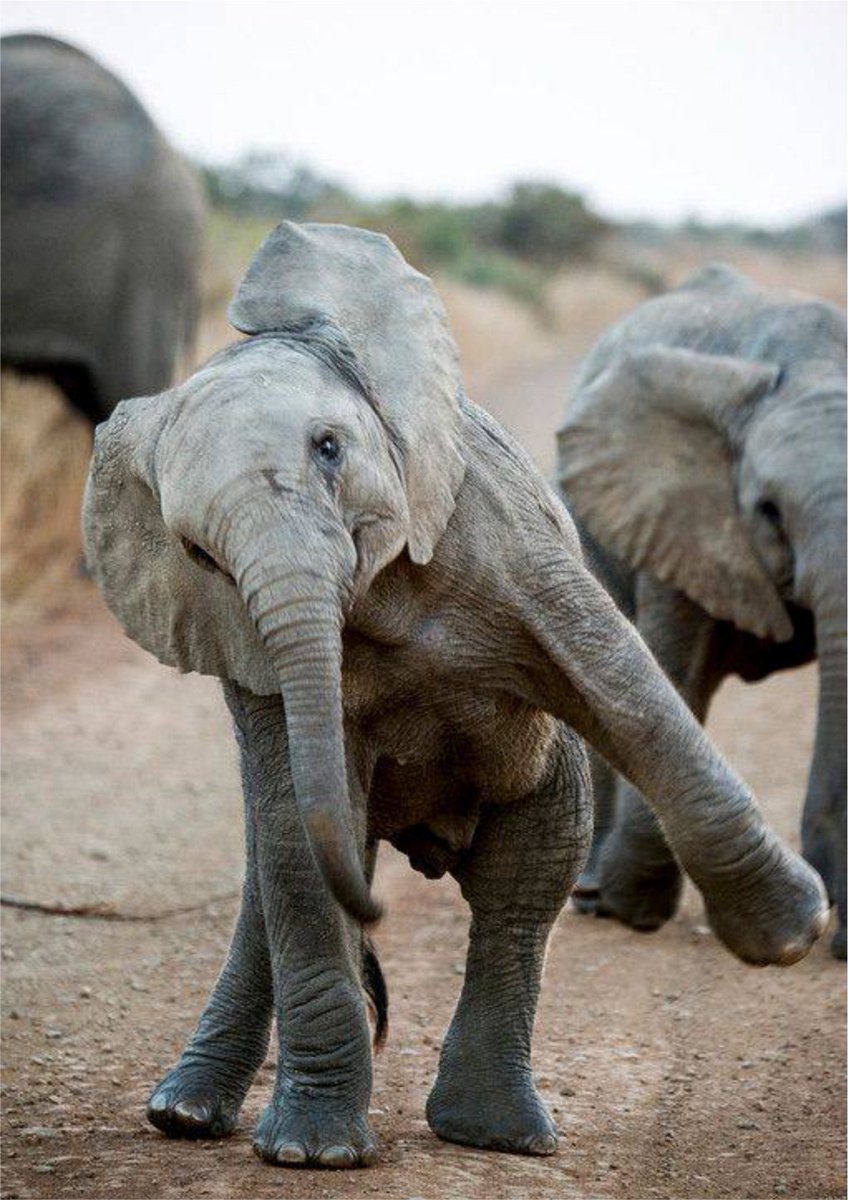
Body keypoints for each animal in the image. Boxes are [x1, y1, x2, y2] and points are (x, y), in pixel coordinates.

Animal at [556, 264, 846, 959]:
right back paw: (593, 896)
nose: (828, 920)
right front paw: (632, 909)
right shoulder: (674, 511)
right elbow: (671, 670)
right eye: (768, 510)